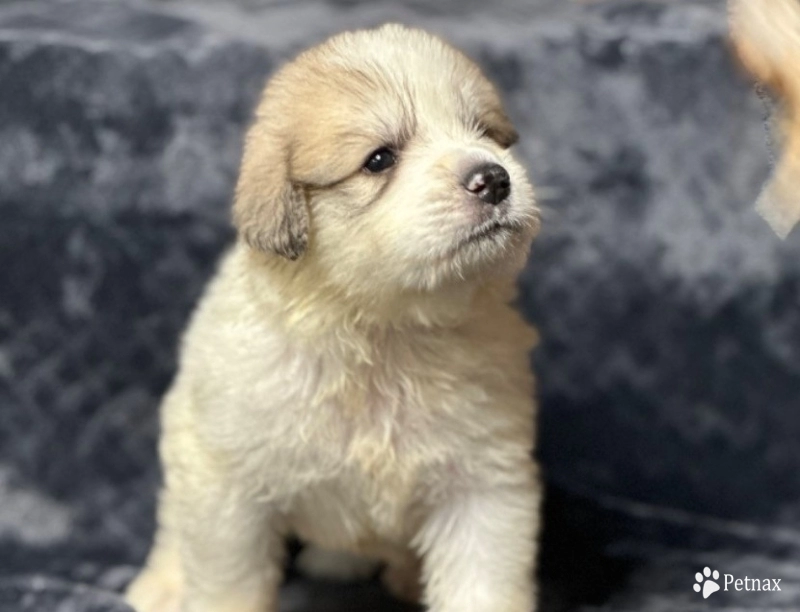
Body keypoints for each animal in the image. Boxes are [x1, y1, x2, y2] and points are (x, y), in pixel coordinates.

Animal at [126, 23, 544, 612]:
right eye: (380, 159)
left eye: (485, 132)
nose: (494, 179)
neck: (383, 331)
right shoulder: (228, 485)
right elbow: (227, 578)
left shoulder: (483, 486)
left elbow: (482, 584)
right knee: (171, 525)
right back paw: (162, 585)